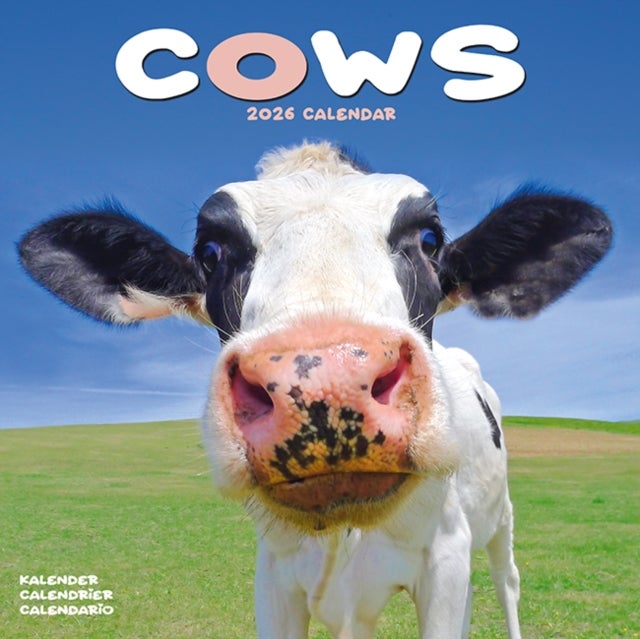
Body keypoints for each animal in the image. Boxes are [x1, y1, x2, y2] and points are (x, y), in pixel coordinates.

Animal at [18, 141, 612, 639]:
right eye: (209, 251)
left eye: (429, 240)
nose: (326, 379)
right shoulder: (275, 577)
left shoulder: (446, 559)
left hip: (501, 518)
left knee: (508, 580)